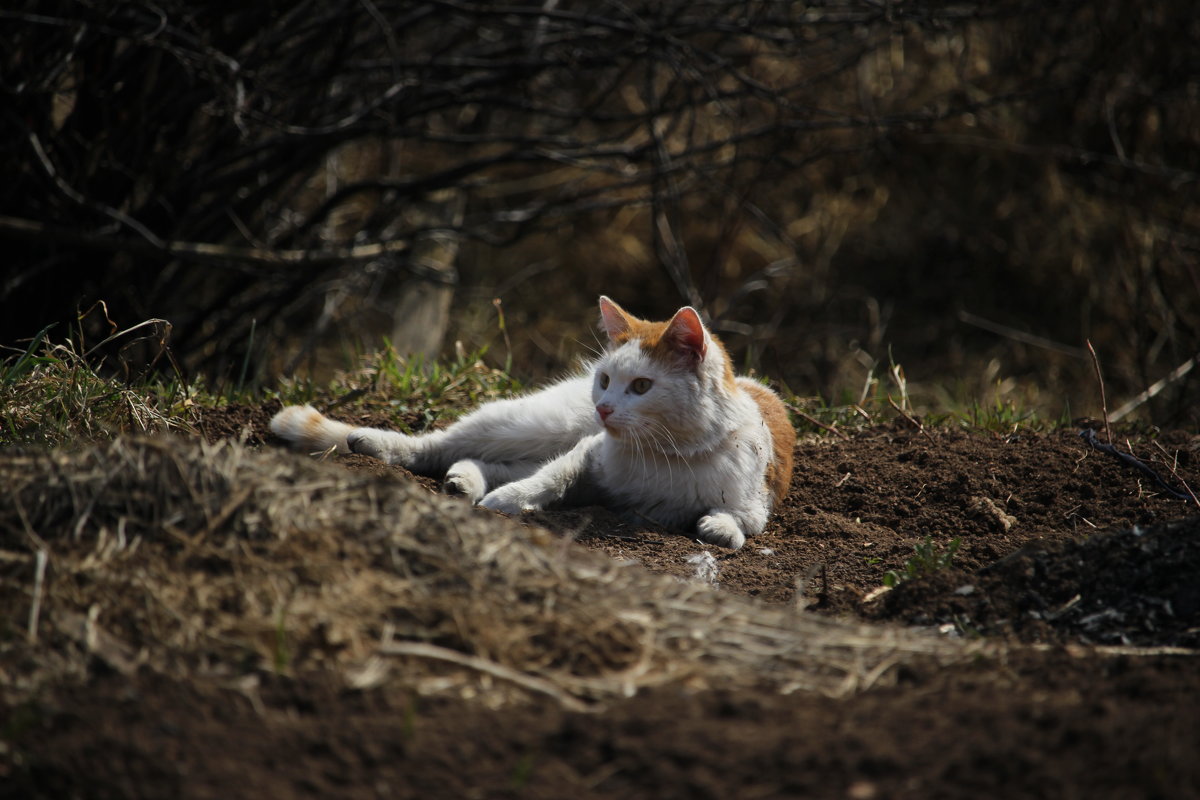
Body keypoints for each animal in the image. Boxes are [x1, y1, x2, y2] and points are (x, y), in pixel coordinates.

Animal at [272, 293, 796, 551]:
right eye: (606, 380)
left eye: (642, 386)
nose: (604, 408)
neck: (665, 453)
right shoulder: (587, 454)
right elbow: (550, 477)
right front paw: (508, 502)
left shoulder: (755, 500)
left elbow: (743, 523)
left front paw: (719, 529)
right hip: (534, 425)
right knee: (439, 445)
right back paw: (370, 443)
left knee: (484, 461)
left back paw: (464, 481)